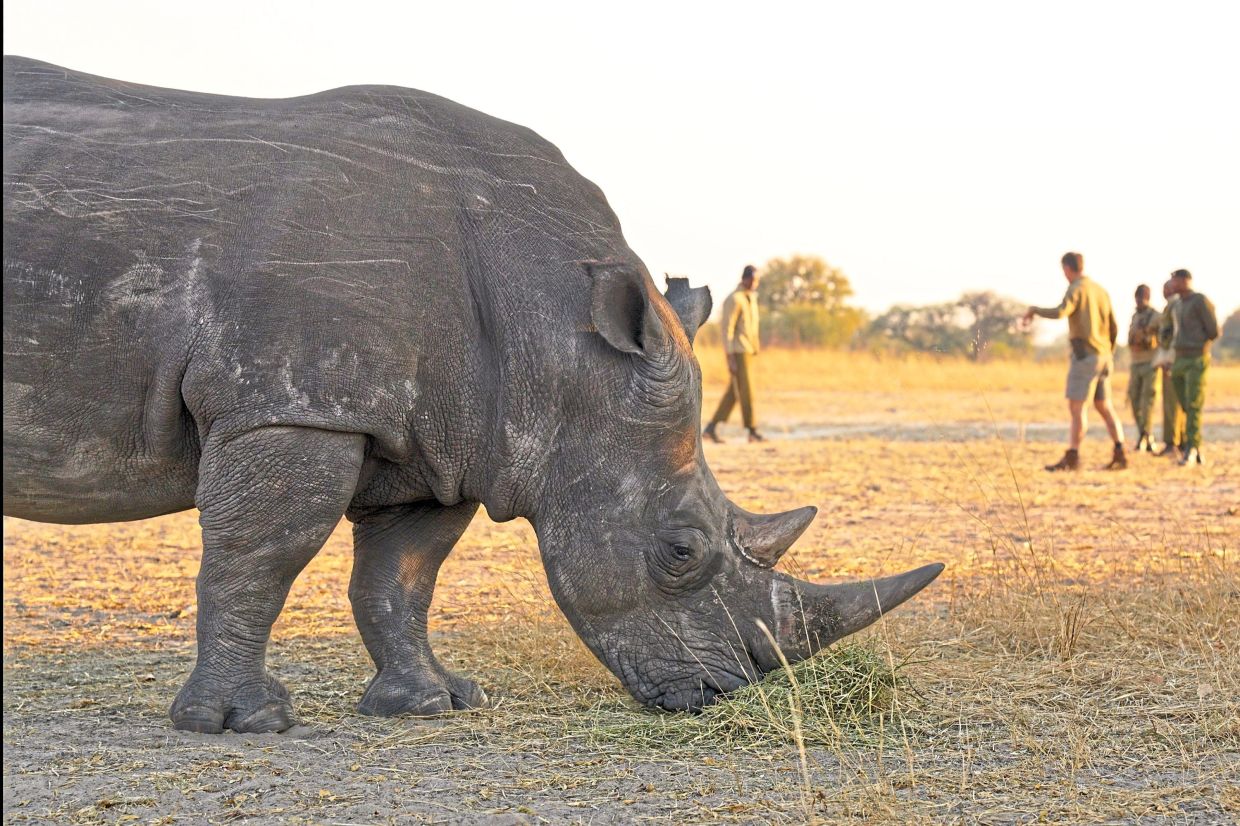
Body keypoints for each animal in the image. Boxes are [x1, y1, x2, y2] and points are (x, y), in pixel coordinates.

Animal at [3, 56, 943, 734]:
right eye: (681, 551)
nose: (720, 695)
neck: (558, 337)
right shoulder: (293, 403)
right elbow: (259, 557)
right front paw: (242, 723)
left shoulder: (441, 435)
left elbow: (400, 577)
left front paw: (434, 704)